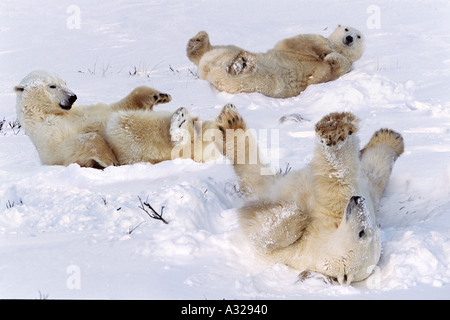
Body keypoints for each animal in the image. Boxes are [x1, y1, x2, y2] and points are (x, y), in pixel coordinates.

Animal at [13, 71, 218, 169]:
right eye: (52, 86)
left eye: (65, 82)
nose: (72, 97)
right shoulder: (47, 136)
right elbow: (70, 147)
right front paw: (109, 159)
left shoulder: (85, 111)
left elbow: (117, 106)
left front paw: (159, 95)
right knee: (123, 125)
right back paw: (179, 125)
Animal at [186, 24, 366, 98]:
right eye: (346, 29)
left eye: (359, 36)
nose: (349, 38)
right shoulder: (296, 46)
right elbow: (302, 41)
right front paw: (326, 52)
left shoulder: (344, 67)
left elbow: (331, 71)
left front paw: (330, 59)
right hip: (228, 51)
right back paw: (199, 40)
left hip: (252, 81)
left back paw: (240, 64)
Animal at [214, 104, 404, 284]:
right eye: (366, 229)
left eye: (362, 232)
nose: (358, 200)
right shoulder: (336, 209)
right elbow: (340, 177)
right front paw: (335, 124)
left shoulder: (298, 251)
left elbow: (267, 235)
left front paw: (292, 213)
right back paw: (389, 137)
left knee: (256, 176)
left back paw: (230, 123)